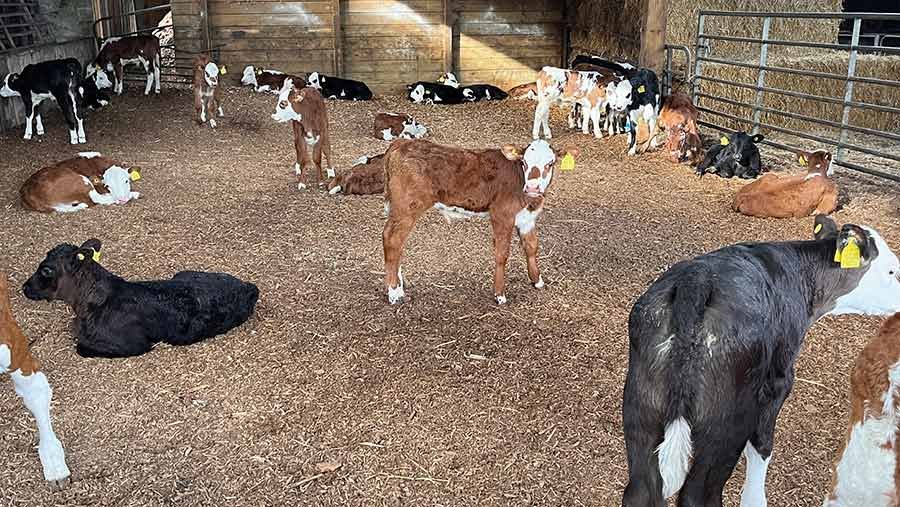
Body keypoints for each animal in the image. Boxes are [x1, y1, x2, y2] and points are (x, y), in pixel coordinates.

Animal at [380, 138, 576, 306]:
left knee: (394, 242)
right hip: (407, 208)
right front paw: (499, 294)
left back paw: (399, 286)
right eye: (524, 162)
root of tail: (401, 143)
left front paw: (537, 280)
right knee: (393, 240)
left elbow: (532, 247)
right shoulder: (501, 215)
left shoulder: (527, 218)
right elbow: (502, 253)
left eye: (550, 163)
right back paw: (394, 293)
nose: (533, 187)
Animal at [620, 216, 900, 507]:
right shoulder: (778, 380)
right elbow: (762, 446)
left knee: (641, 491)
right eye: (892, 271)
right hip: (726, 422)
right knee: (699, 493)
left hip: (641, 403)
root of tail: (696, 282)